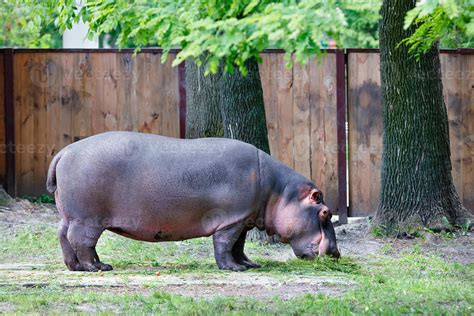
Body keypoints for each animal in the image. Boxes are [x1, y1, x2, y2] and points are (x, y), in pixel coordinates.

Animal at [46, 131, 338, 272]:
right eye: (325, 212)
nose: (336, 254)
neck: (278, 190)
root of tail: (64, 151)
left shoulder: (243, 219)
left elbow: (239, 246)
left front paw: (248, 265)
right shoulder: (231, 219)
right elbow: (225, 245)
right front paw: (234, 270)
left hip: (71, 215)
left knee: (63, 236)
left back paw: (77, 267)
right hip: (88, 219)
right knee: (82, 242)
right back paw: (97, 268)